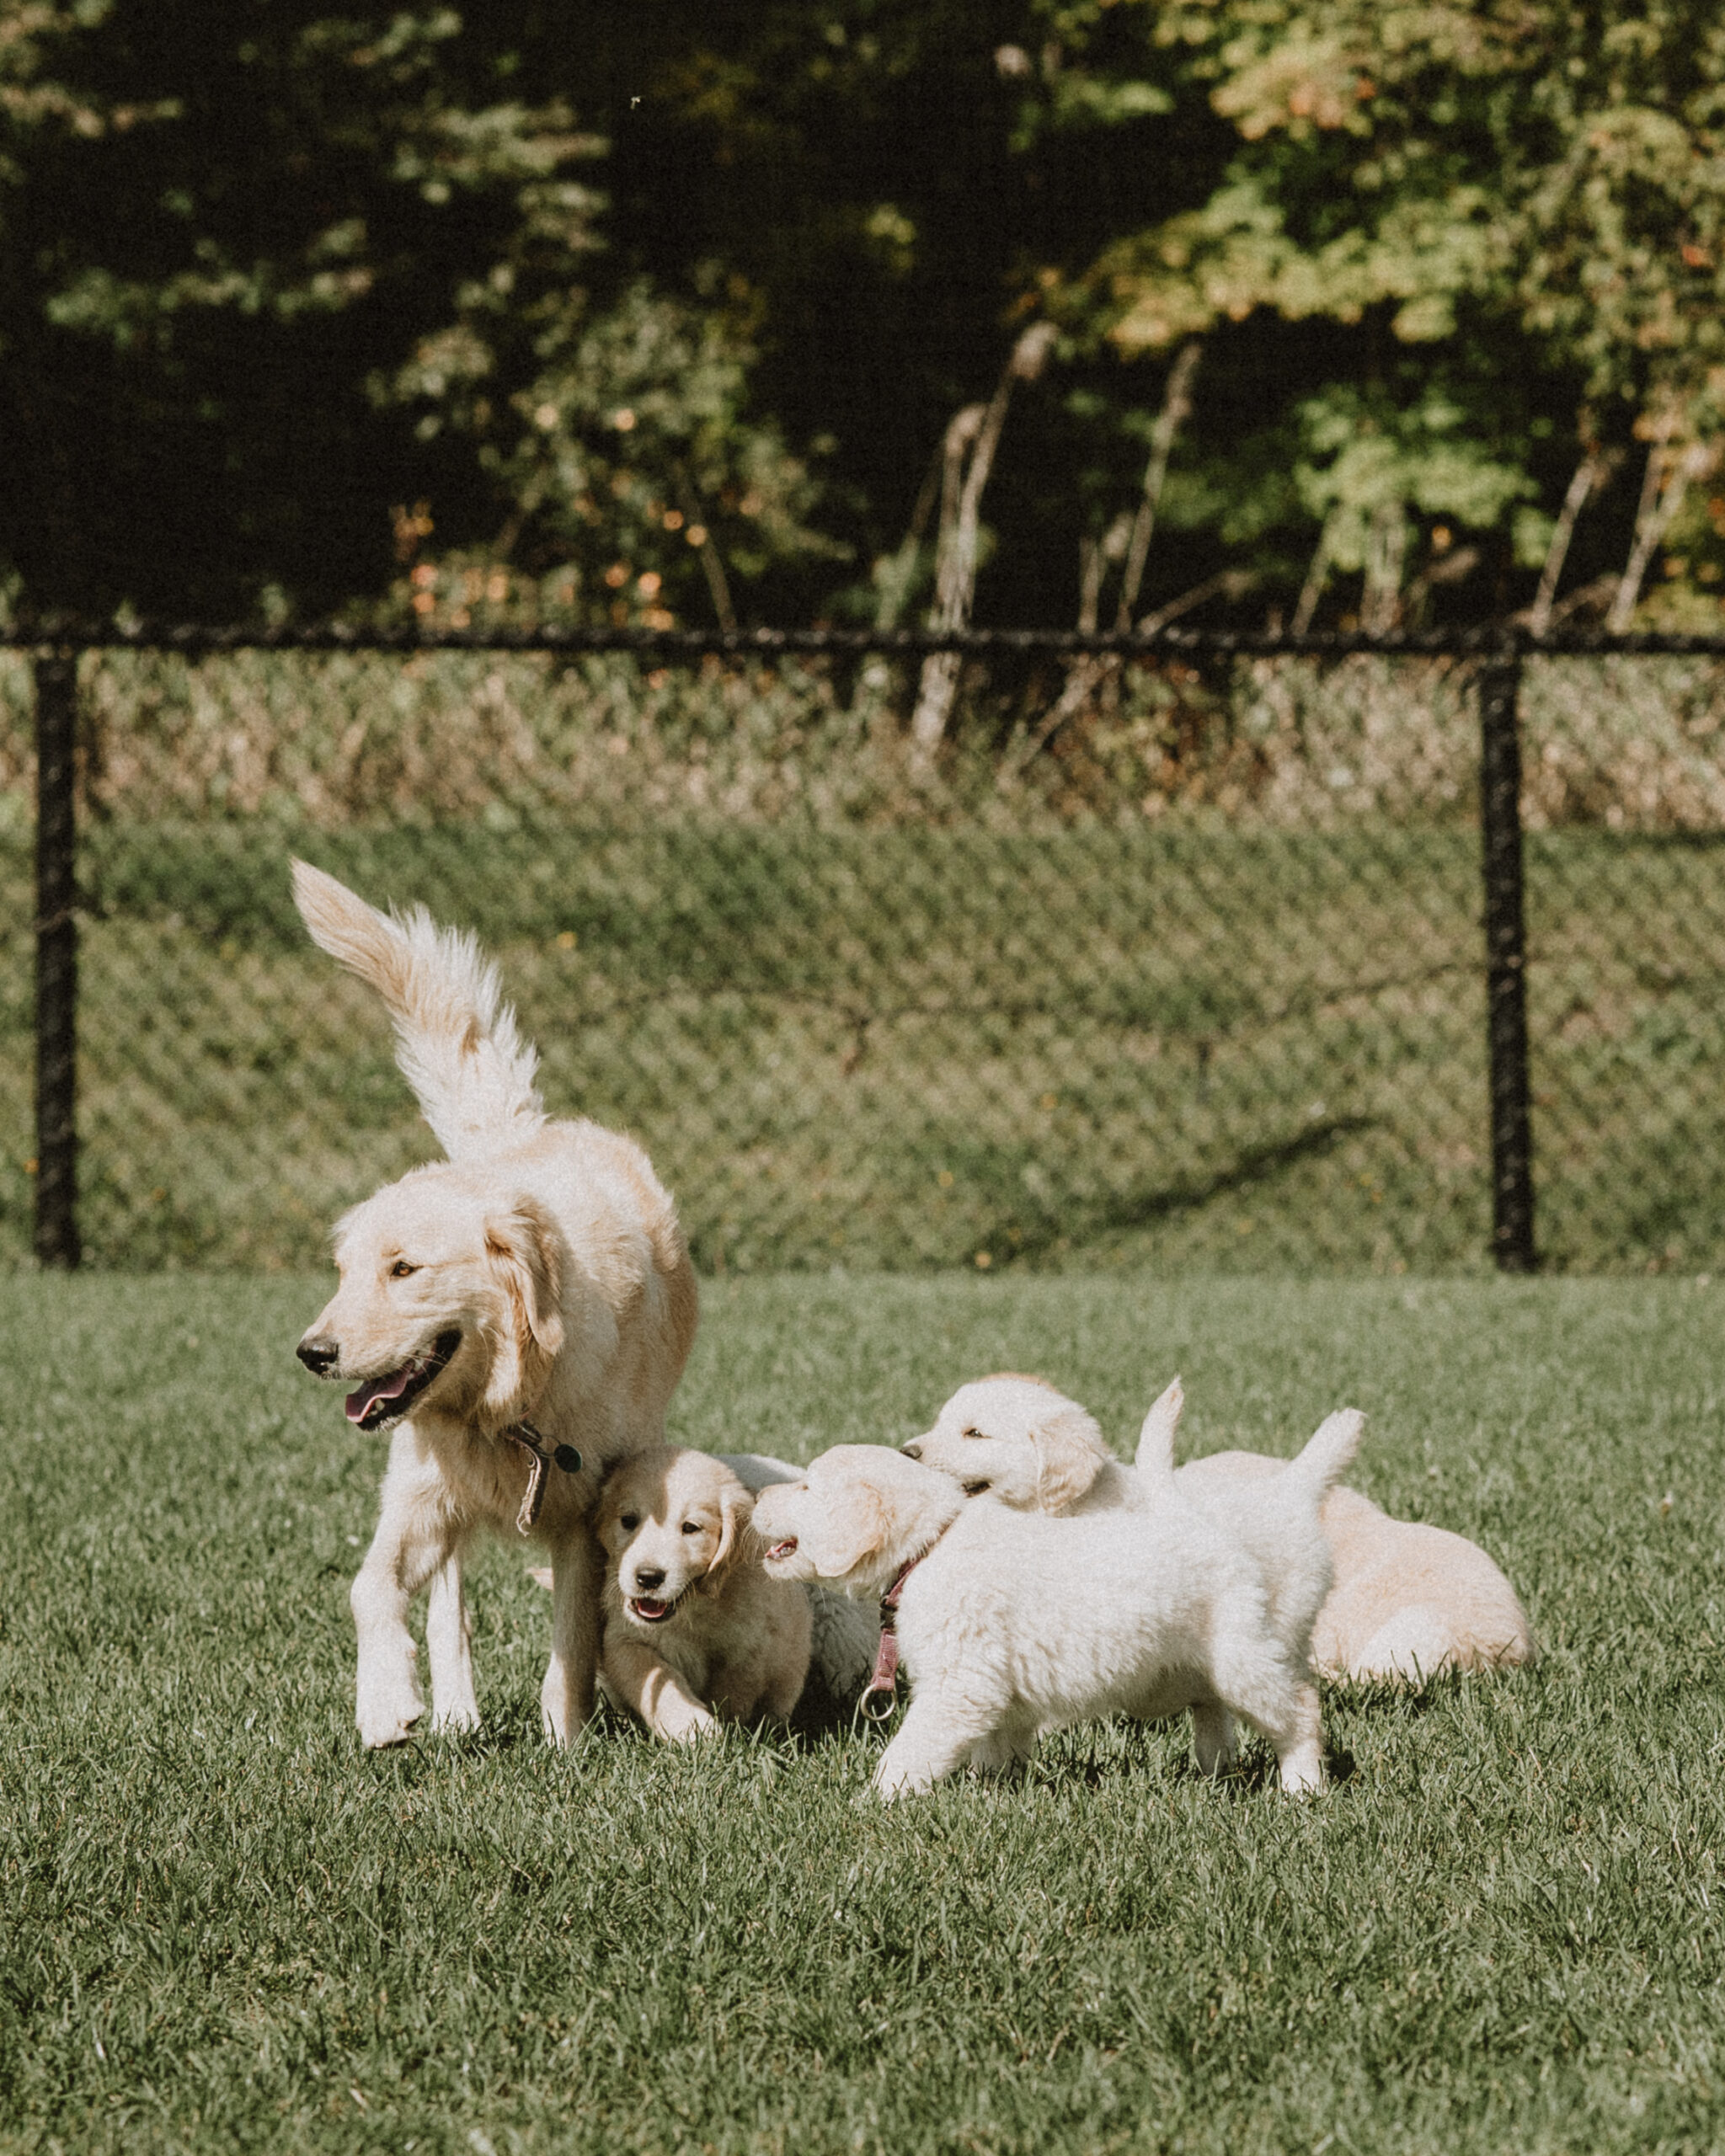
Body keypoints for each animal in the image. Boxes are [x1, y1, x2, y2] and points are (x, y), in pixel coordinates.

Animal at [290, 861, 699, 1748]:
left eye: (404, 1269)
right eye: (343, 1271)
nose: (313, 1353)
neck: (506, 1405)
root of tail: (515, 1142)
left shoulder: (587, 1524)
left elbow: (572, 1644)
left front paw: (563, 1745)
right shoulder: (418, 1499)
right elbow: (369, 1589)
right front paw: (386, 1702)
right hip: (428, 1486)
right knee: (449, 1603)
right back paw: (454, 1711)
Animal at [753, 1422, 1360, 1800]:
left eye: (806, 1486)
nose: (756, 1498)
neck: (932, 1545)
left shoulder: (959, 1685)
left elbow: (910, 1751)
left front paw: (874, 1802)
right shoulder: (998, 1691)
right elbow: (997, 1749)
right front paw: (993, 1790)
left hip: (1243, 1655)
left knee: (1299, 1710)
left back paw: (1302, 1788)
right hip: (1188, 1665)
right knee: (1212, 1709)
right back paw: (1212, 1770)